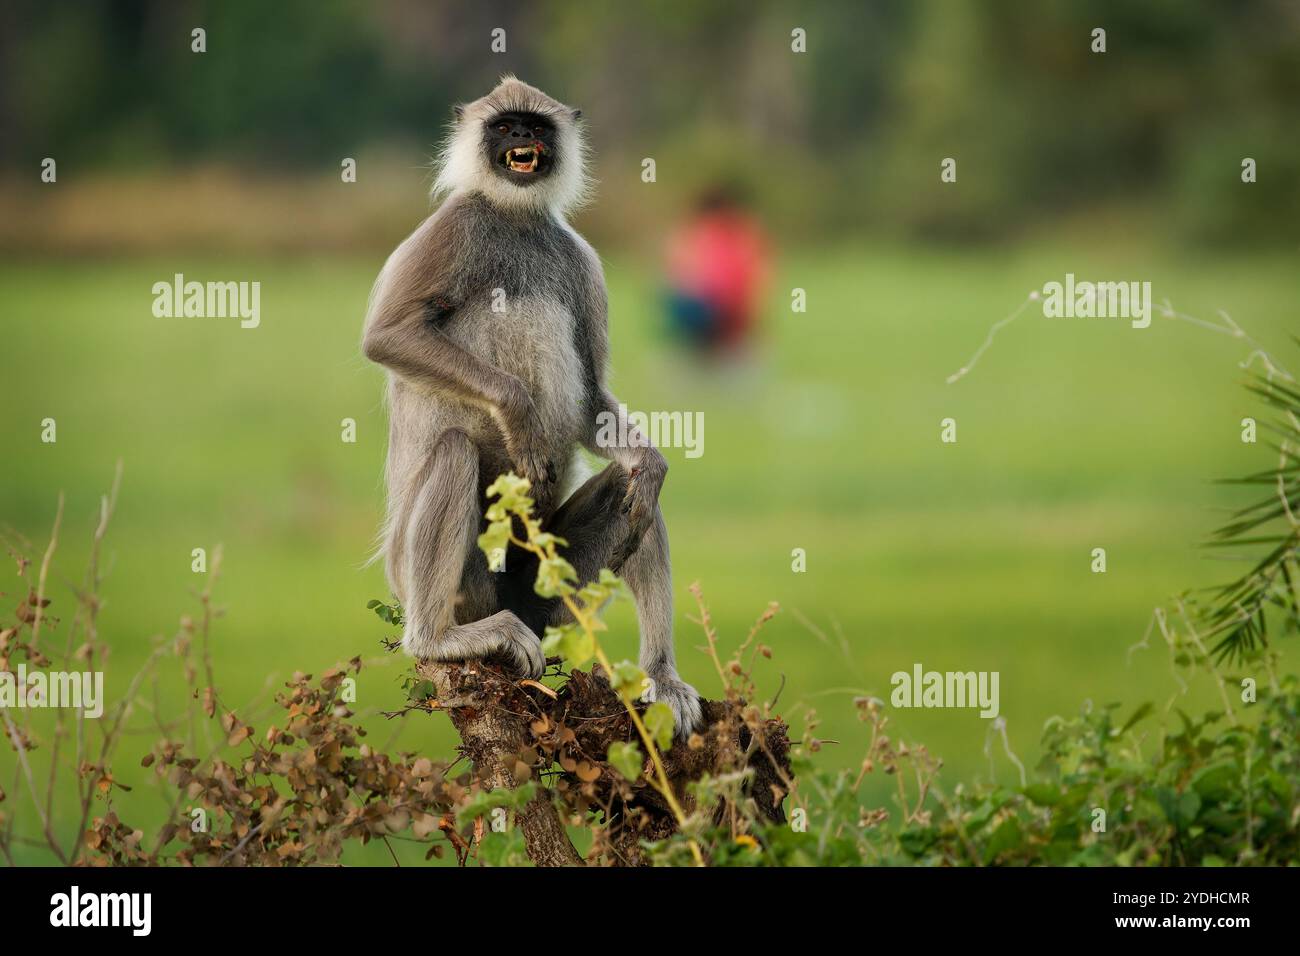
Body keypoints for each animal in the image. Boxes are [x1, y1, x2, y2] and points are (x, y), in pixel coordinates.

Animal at [361, 76, 707, 733]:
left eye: (536, 127)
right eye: (504, 126)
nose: (522, 136)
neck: (513, 217)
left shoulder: (581, 259)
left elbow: (594, 403)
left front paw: (649, 463)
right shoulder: (454, 226)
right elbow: (387, 337)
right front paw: (519, 413)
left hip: (547, 596)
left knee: (637, 493)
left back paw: (661, 676)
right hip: (453, 584)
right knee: (453, 451)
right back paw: (435, 640)